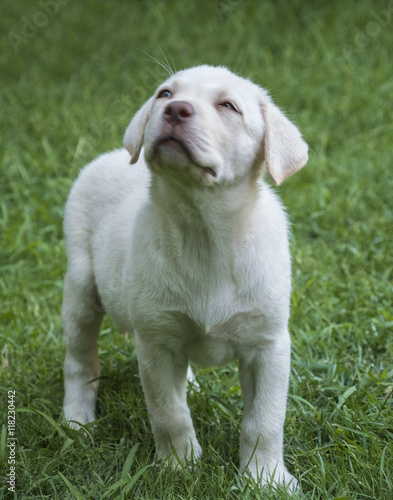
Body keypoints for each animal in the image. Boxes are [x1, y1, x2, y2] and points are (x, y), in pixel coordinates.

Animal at [62, 64, 306, 490]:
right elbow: (168, 412)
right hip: (80, 289)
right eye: (165, 93)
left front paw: (265, 478)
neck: (203, 229)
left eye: (228, 106)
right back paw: (78, 418)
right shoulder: (156, 342)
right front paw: (179, 467)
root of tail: (108, 157)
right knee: (80, 361)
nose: (175, 109)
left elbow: (265, 420)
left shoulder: (269, 344)